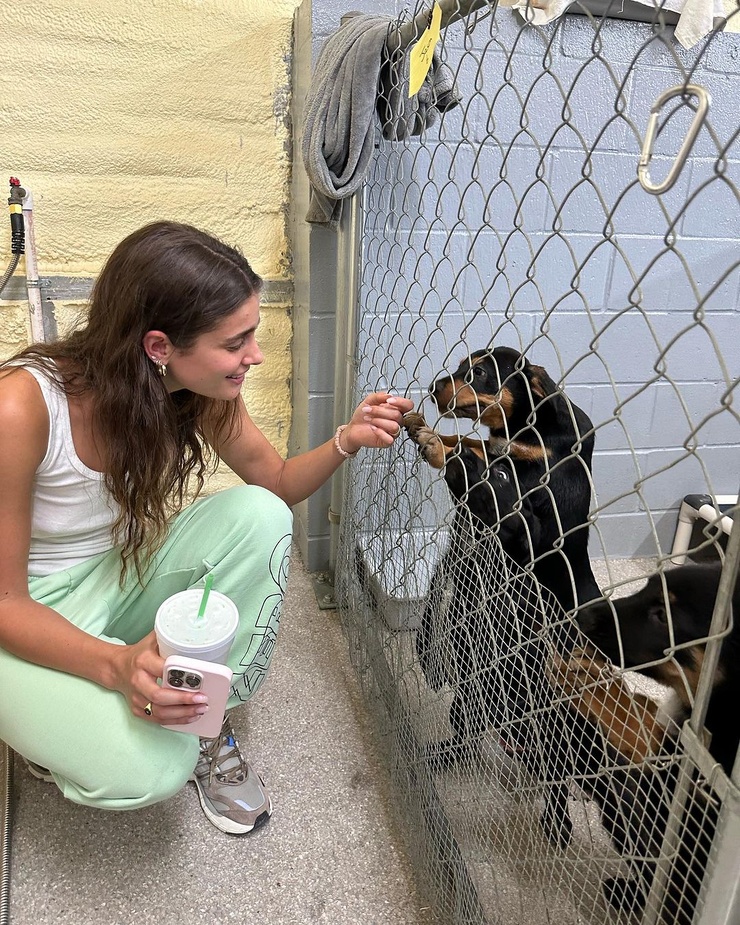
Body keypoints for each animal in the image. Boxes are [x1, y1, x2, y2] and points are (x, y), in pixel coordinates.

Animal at [402, 344, 604, 844]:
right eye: (458, 366)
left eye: (478, 372)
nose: (434, 385)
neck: (524, 434)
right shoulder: (493, 452)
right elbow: (468, 444)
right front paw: (427, 431)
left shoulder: (531, 525)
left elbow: (488, 482)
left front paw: (445, 452)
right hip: (469, 698)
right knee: (467, 740)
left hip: (553, 724)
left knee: (558, 779)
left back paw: (558, 825)